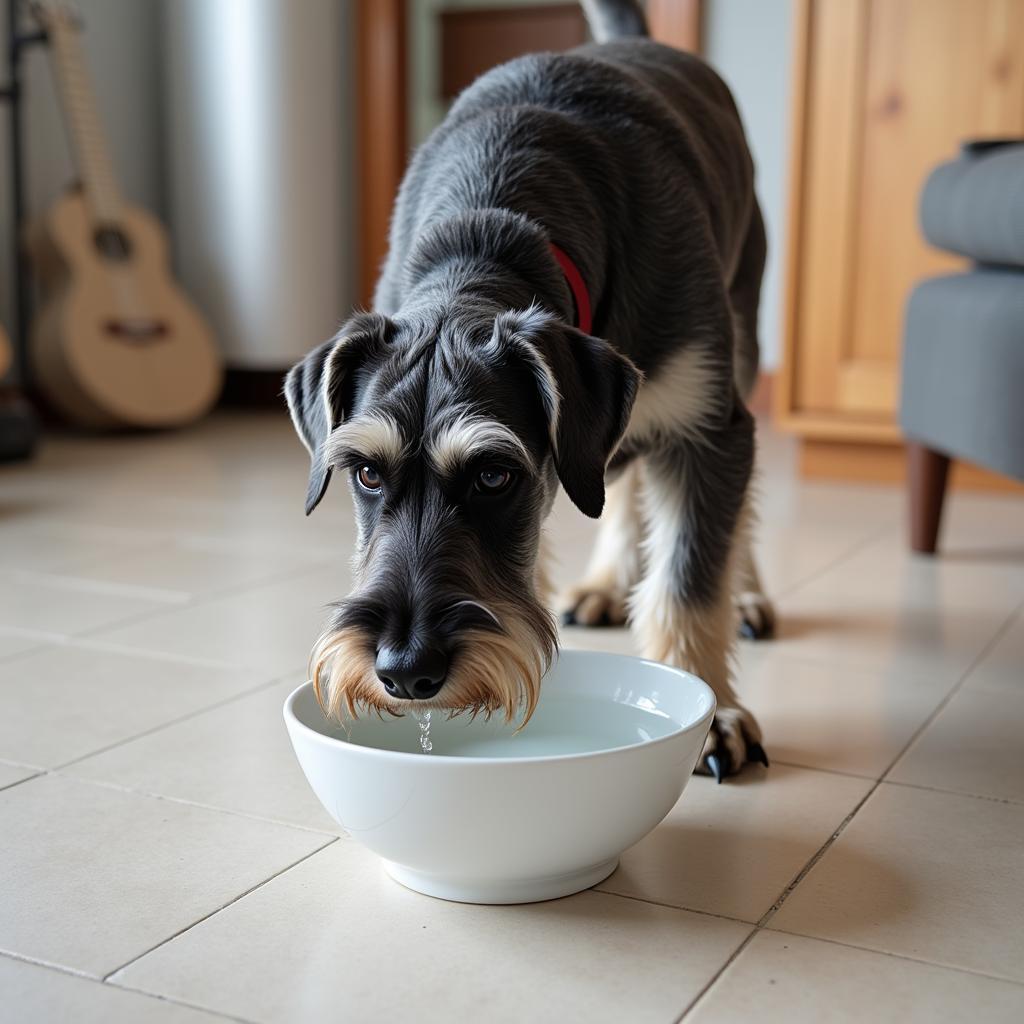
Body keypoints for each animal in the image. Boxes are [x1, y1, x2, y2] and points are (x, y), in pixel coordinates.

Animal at [284, 0, 770, 774]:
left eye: (492, 475)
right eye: (364, 473)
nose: (405, 670)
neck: (487, 239)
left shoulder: (706, 428)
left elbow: (689, 582)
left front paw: (714, 711)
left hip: (739, 352)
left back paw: (747, 596)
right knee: (620, 483)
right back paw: (605, 584)